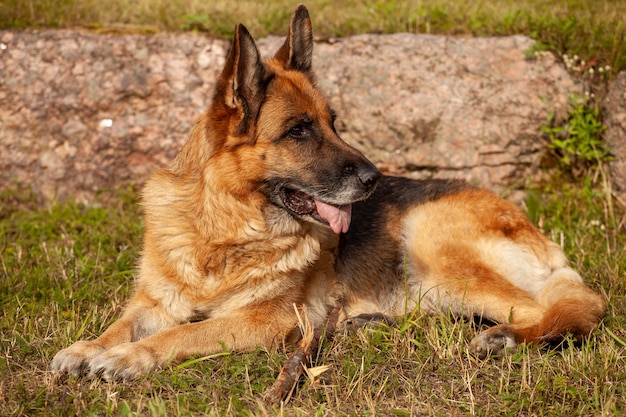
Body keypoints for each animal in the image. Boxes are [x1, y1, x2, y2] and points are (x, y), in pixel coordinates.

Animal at [52, 4, 604, 380]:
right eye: (299, 131)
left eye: (333, 123)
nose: (374, 178)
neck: (222, 231)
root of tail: (533, 231)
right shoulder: (154, 301)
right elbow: (124, 323)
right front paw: (88, 347)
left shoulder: (266, 320)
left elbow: (183, 332)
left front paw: (127, 358)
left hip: (430, 241)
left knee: (560, 311)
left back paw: (508, 337)